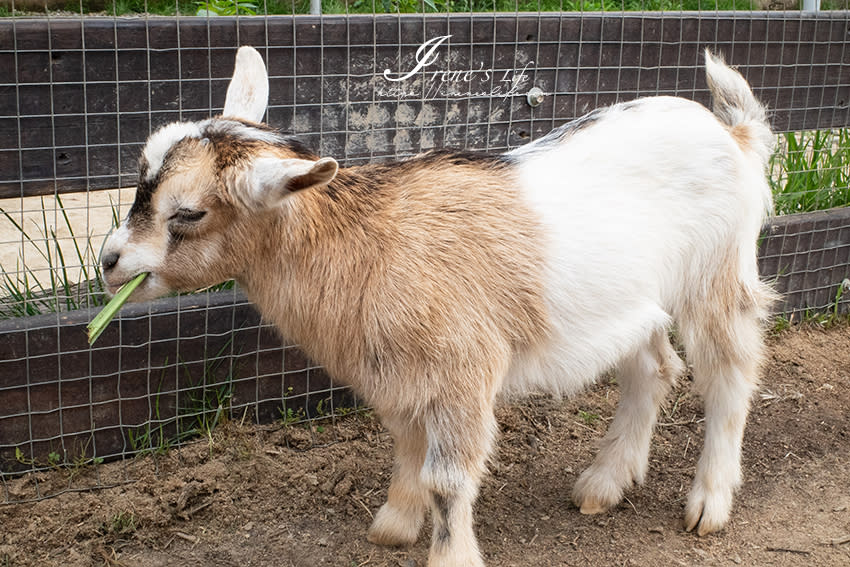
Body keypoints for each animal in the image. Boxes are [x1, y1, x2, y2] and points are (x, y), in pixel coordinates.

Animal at [101, 46, 776, 564]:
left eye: (189, 213)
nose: (109, 261)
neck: (366, 242)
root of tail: (735, 134)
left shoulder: (461, 372)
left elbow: (449, 480)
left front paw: (449, 555)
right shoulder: (397, 376)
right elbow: (406, 446)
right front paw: (395, 524)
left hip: (717, 275)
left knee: (729, 374)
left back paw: (709, 502)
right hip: (631, 302)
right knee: (654, 368)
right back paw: (603, 485)